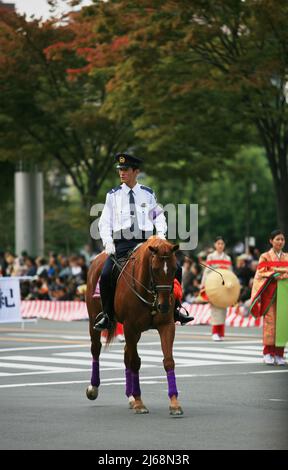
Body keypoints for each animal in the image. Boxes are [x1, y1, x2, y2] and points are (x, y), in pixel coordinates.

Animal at [86, 237, 182, 416]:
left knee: (126, 355)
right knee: (96, 349)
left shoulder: (166, 325)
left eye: (174, 269)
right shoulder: (130, 327)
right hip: (93, 320)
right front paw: (139, 402)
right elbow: (135, 362)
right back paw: (93, 388)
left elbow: (168, 361)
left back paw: (129, 396)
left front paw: (174, 403)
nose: (164, 306)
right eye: (155, 269)